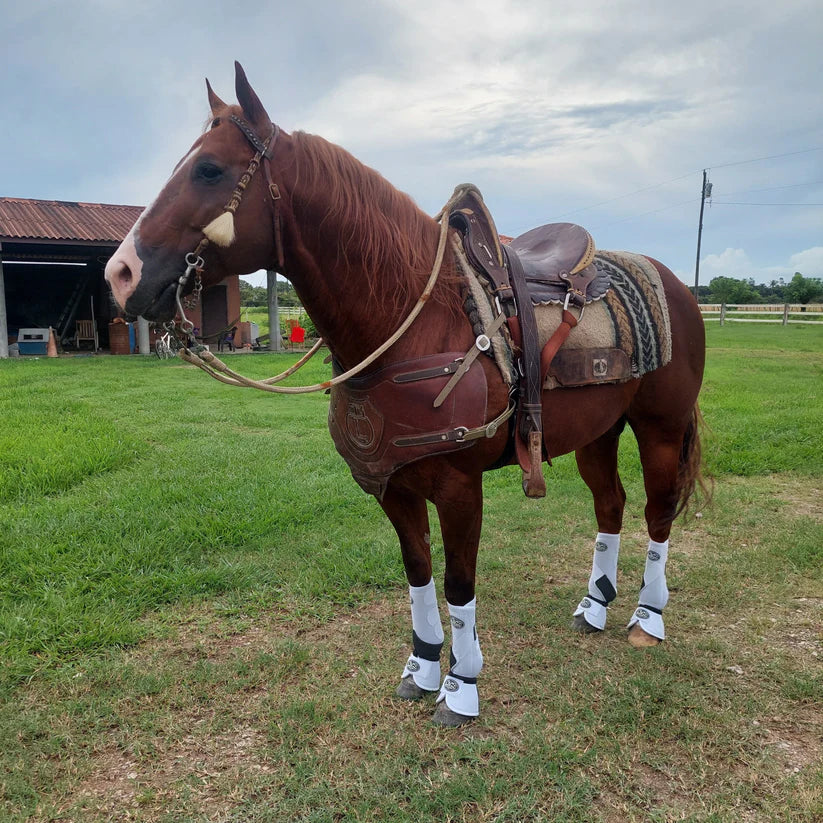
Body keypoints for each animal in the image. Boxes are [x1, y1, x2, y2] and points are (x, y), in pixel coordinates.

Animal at [104, 64, 708, 728]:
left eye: (209, 169)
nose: (119, 274)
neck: (415, 320)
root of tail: (676, 284)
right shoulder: (392, 484)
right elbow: (418, 574)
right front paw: (421, 668)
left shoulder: (460, 488)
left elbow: (459, 583)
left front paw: (462, 686)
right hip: (598, 431)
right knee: (610, 505)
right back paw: (595, 606)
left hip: (660, 427)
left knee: (657, 512)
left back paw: (647, 618)